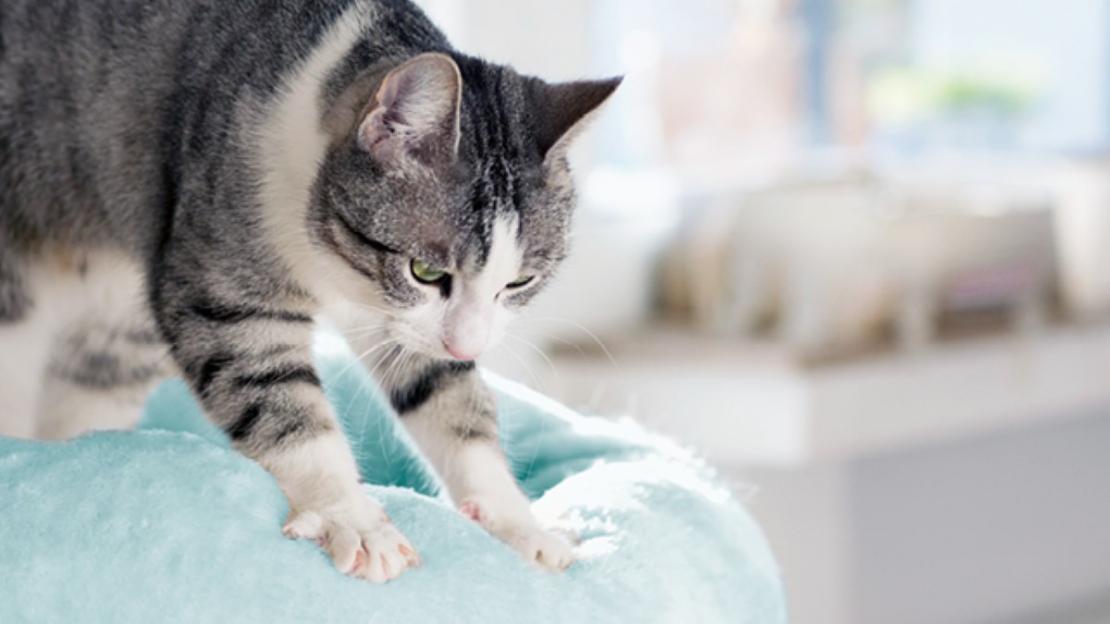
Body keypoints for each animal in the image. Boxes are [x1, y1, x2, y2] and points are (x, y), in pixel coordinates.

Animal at [0, 1, 621, 581]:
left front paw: (518, 522)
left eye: (519, 282)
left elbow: (449, 396)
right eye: (425, 270)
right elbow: (276, 395)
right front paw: (352, 517)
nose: (468, 345)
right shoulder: (220, 277)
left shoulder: (403, 321)